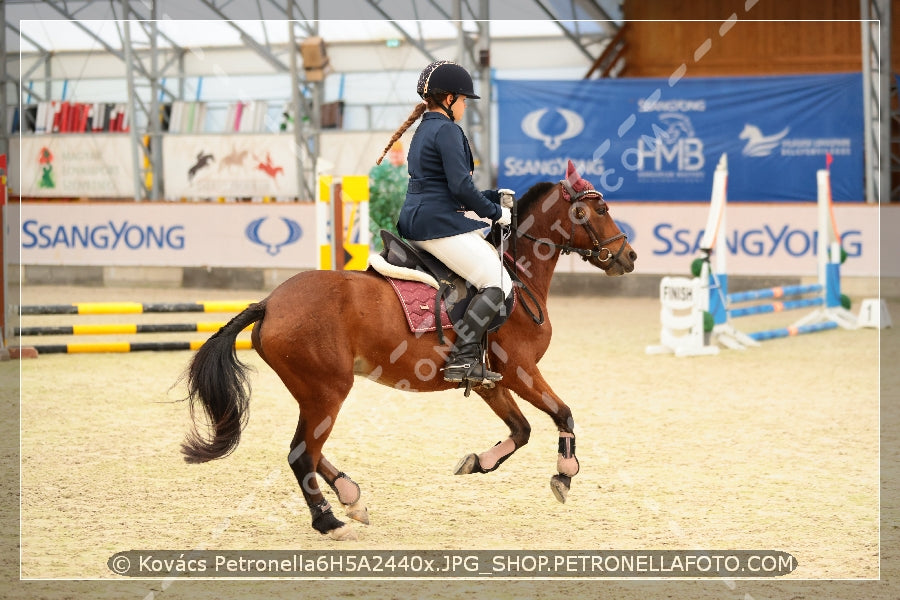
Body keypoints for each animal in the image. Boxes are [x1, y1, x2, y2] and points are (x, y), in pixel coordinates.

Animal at [179, 159, 636, 540]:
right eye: (599, 210)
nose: (628, 256)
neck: (518, 276)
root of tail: (270, 303)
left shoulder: (490, 381)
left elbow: (521, 430)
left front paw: (478, 462)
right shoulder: (521, 371)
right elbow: (563, 413)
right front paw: (565, 474)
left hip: (314, 393)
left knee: (309, 449)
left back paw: (350, 496)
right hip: (327, 390)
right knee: (301, 453)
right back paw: (329, 521)